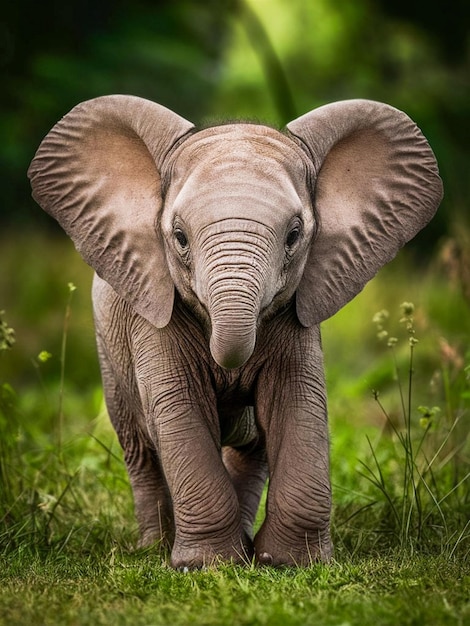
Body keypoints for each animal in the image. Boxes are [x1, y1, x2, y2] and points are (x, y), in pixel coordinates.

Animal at [28, 94, 440, 564]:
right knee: (140, 450)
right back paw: (156, 548)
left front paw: (290, 563)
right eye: (179, 237)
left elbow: (296, 402)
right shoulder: (152, 314)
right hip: (109, 356)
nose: (231, 380)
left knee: (250, 452)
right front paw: (205, 566)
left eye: (294, 235)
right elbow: (180, 405)